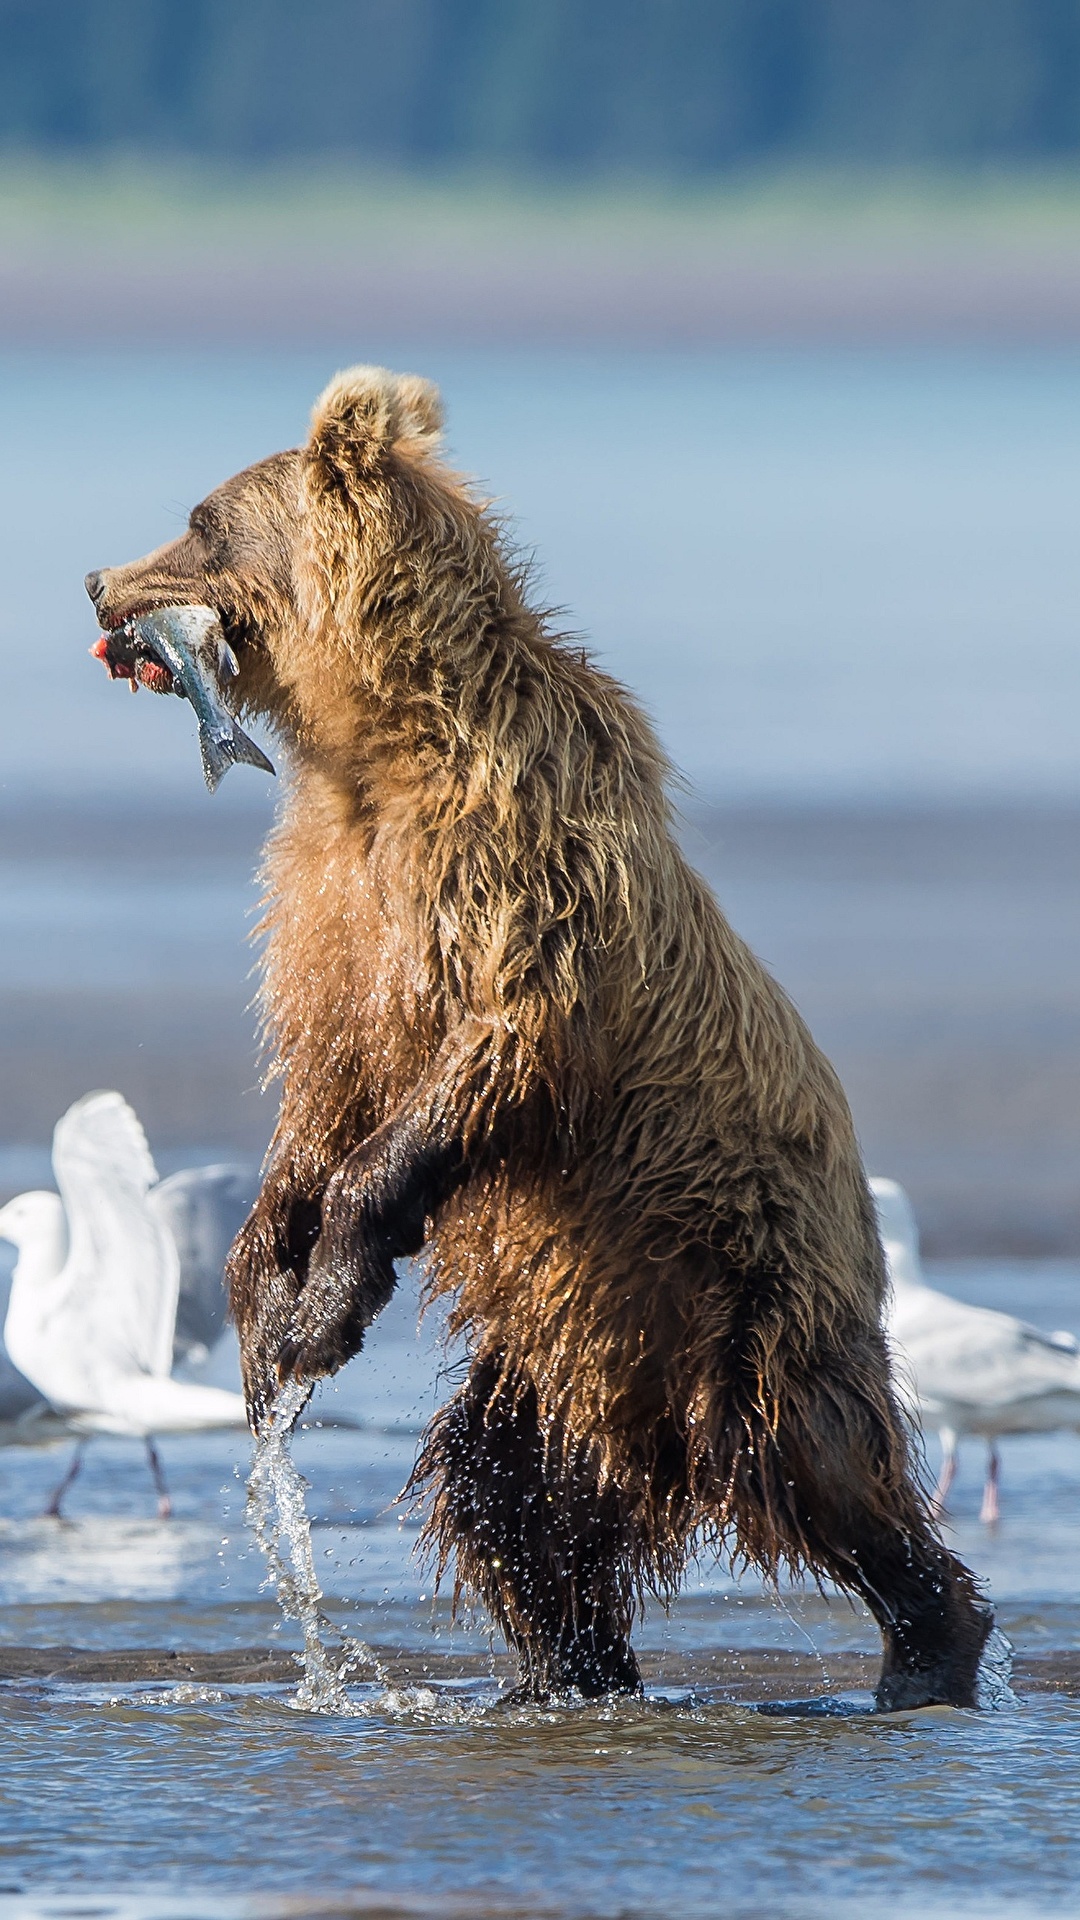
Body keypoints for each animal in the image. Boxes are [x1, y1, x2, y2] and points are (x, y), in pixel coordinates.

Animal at [88, 362, 991, 1712]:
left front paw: (323, 1310)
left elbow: (486, 1061)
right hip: (562, 1346)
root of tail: (647, 1430)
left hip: (744, 1280)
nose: (98, 582)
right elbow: (323, 1091)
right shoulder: (329, 912)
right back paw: (566, 1673)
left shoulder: (516, 875)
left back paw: (928, 1648)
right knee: (505, 1490)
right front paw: (263, 1294)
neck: (377, 749)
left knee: (814, 1463)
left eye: (199, 522)